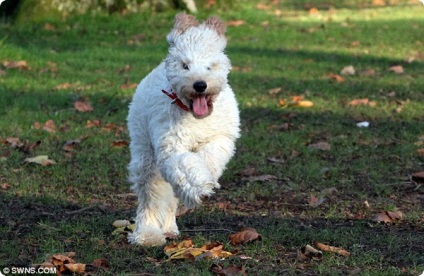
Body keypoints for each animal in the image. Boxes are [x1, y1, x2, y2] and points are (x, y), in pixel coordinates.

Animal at [126, 12, 240, 246]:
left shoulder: (220, 138)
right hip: (145, 154)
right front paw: (197, 188)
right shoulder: (172, 146)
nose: (200, 85)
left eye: (210, 66)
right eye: (185, 65)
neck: (196, 117)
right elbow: (185, 163)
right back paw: (148, 233)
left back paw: (169, 228)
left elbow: (208, 158)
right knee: (150, 195)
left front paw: (204, 180)